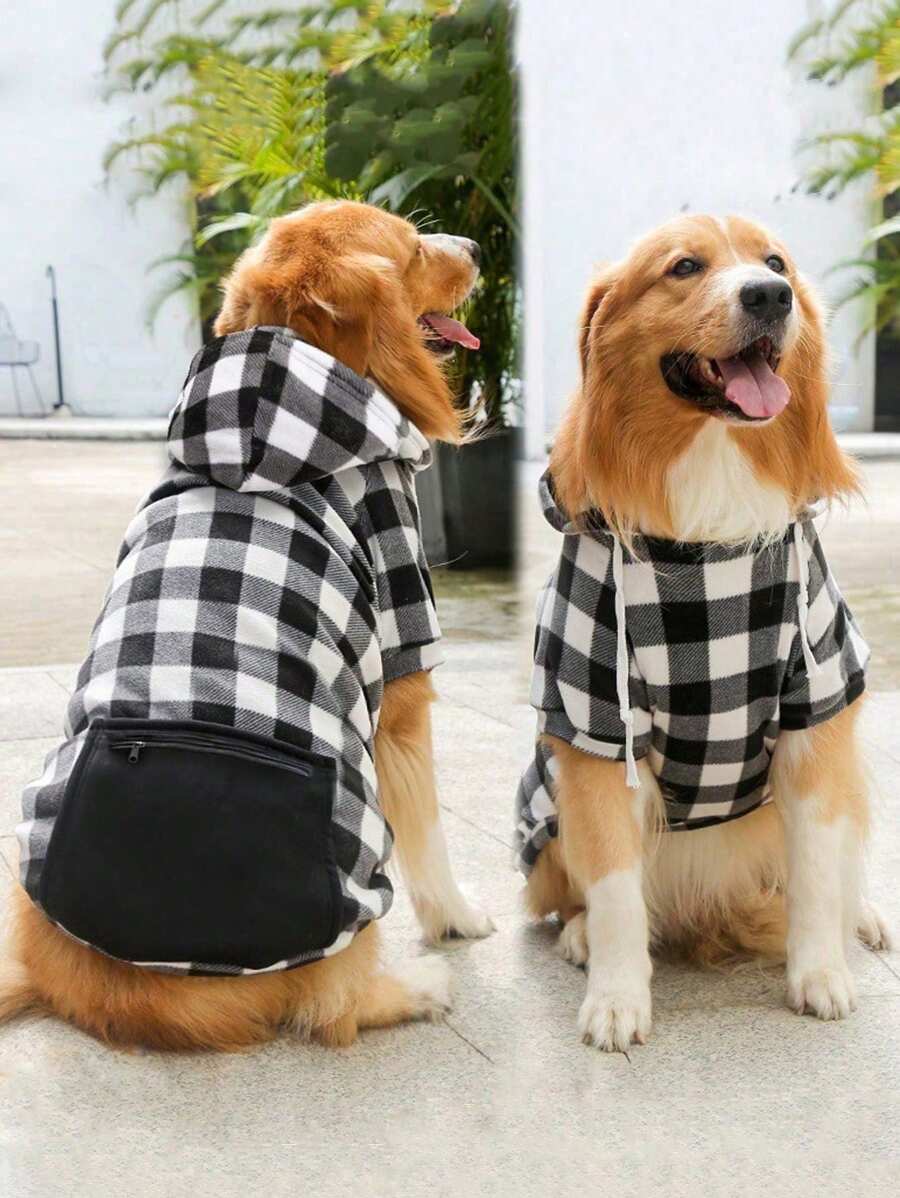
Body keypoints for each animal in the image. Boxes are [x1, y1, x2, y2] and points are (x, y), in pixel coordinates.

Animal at [0, 200, 493, 1050]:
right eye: (411, 248)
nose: (473, 245)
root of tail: (118, 993)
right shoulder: (402, 656)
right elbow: (430, 835)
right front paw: (458, 921)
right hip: (354, 836)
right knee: (331, 1006)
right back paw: (417, 987)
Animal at [516, 214, 892, 1052]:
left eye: (775, 261)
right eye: (684, 267)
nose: (770, 296)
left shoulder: (816, 707)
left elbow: (816, 873)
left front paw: (819, 971)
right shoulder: (594, 725)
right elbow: (616, 889)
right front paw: (617, 997)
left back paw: (866, 918)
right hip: (544, 803)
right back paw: (580, 936)